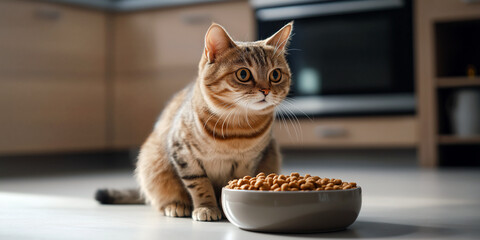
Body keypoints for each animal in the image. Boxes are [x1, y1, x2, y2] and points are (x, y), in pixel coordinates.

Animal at [95, 22, 292, 221]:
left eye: (275, 75)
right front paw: (206, 207)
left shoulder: (249, 162)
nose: (266, 90)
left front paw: (224, 206)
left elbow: (234, 181)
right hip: (152, 161)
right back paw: (176, 205)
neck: (236, 129)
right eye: (243, 74)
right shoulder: (183, 153)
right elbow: (199, 184)